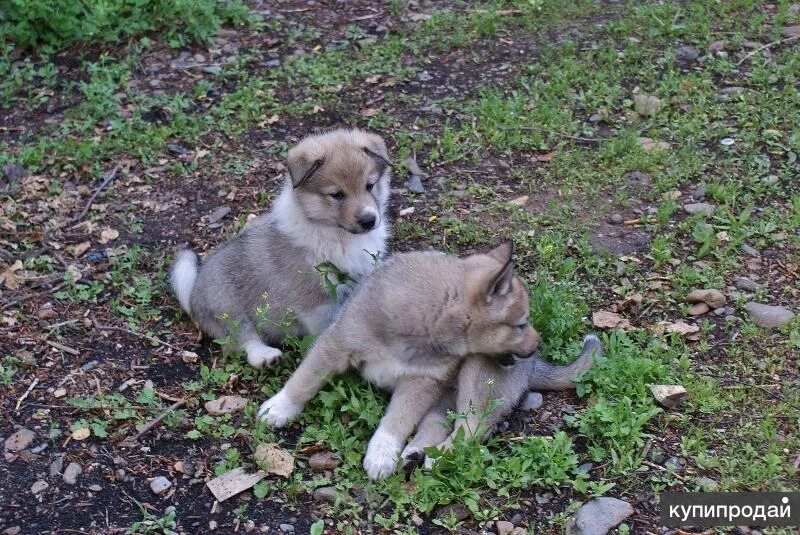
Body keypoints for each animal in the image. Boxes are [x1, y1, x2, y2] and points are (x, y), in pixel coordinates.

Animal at [170, 130, 392, 370]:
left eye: (370, 185)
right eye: (337, 195)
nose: (369, 221)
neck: (336, 233)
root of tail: (193, 288)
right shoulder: (315, 303)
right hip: (225, 305)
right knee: (243, 338)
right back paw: (266, 355)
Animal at [256, 243, 592, 482]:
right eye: (521, 325)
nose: (538, 345)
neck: (424, 320)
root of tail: (533, 368)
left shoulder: (421, 382)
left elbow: (397, 420)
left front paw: (381, 452)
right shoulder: (337, 344)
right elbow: (305, 379)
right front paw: (280, 407)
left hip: (475, 373)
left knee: (471, 430)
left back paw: (439, 456)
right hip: (444, 399)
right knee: (439, 425)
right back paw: (416, 453)